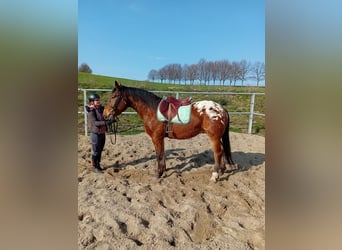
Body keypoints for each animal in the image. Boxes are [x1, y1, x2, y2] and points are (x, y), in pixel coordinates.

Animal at [102, 81, 235, 182]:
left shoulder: (156, 138)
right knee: (222, 150)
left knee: (217, 152)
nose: (105, 114)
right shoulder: (160, 138)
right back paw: (222, 171)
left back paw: (214, 176)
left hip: (214, 137)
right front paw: (163, 171)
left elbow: (158, 155)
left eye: (113, 97)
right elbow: (162, 154)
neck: (152, 110)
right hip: (217, 137)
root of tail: (221, 108)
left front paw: (158, 174)